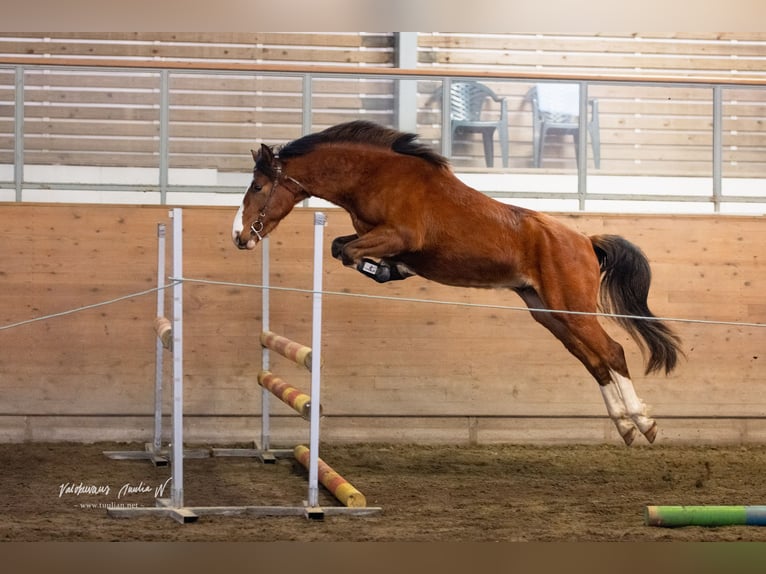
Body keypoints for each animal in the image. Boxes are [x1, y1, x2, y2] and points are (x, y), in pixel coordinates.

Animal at [232, 120, 682, 446]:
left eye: (257, 186)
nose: (240, 237)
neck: (375, 176)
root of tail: (585, 240)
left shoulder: (397, 235)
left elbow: (347, 251)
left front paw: (388, 270)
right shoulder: (373, 236)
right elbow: (340, 247)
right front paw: (391, 271)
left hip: (572, 308)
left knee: (613, 351)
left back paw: (643, 423)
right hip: (548, 312)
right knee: (594, 361)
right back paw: (625, 427)